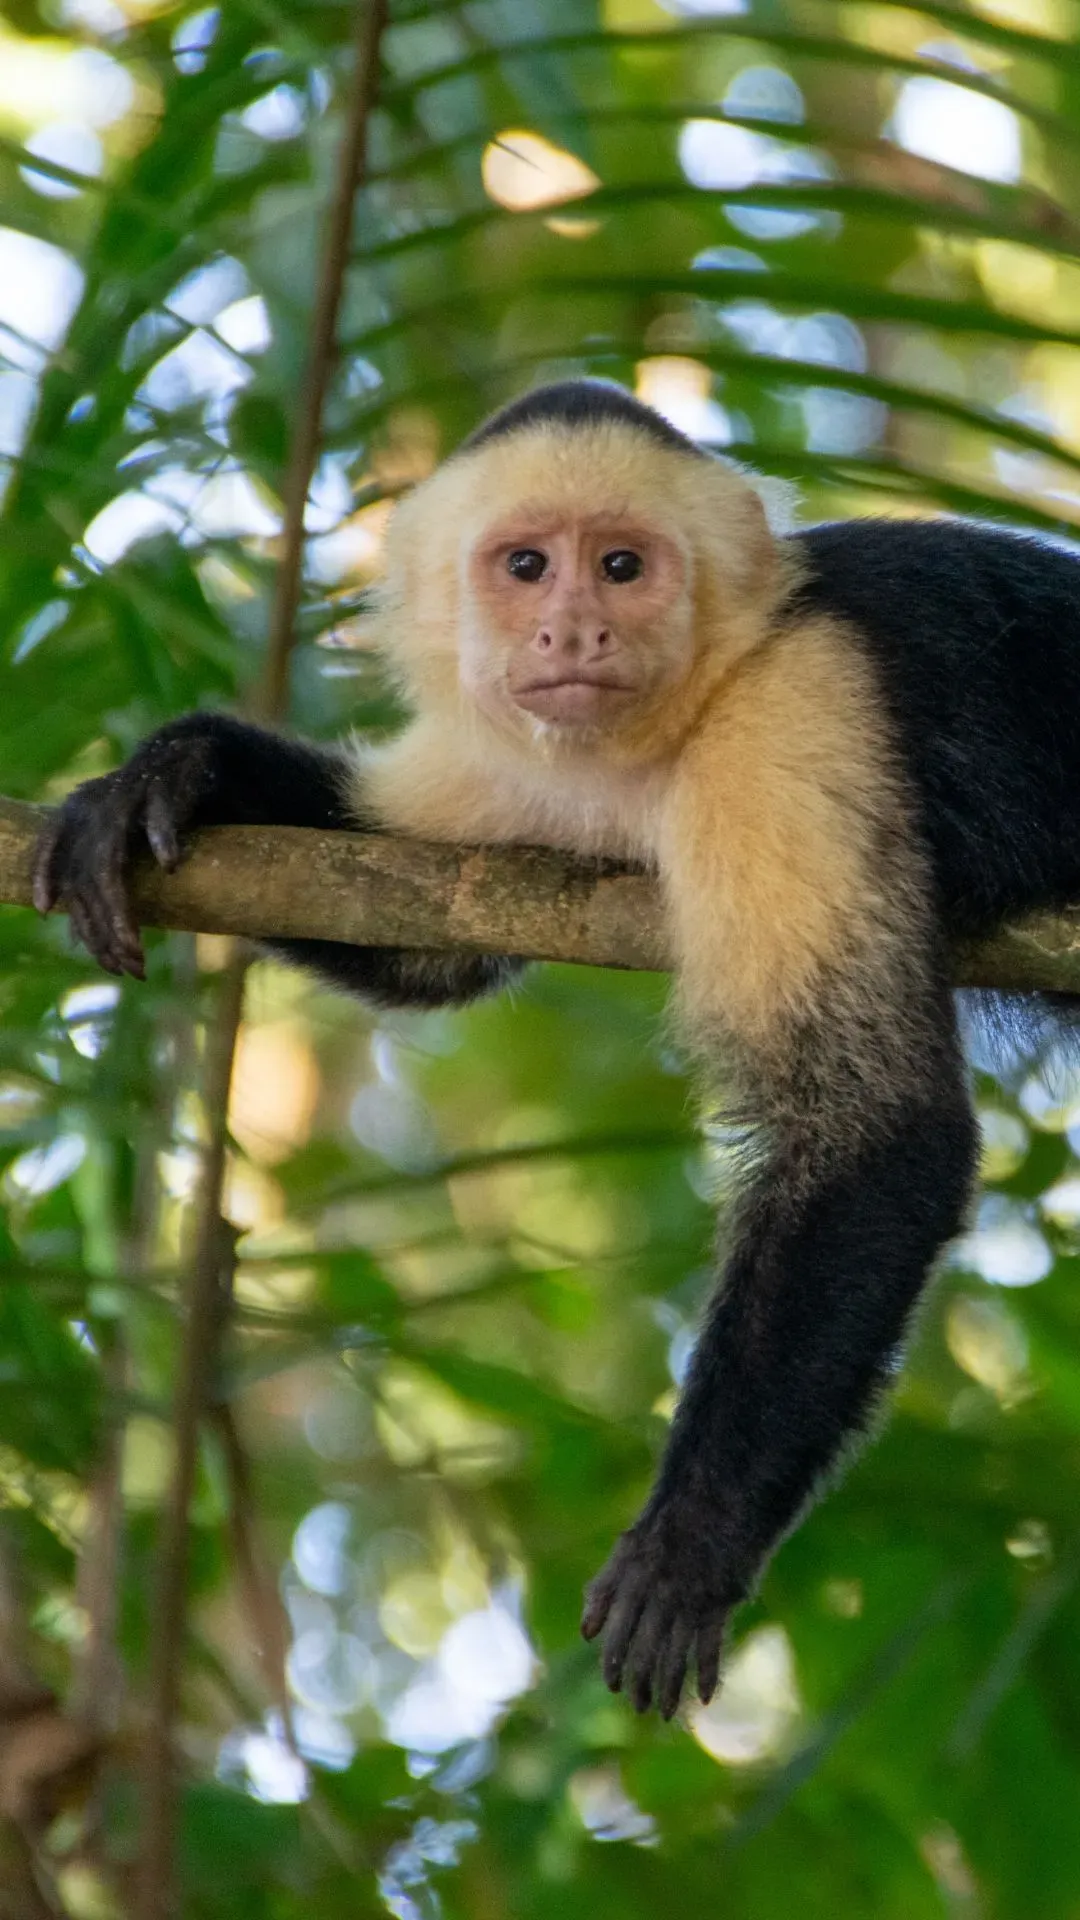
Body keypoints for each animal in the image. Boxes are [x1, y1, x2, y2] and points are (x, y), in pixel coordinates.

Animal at [33, 377, 1080, 1720]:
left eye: (622, 567)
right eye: (526, 566)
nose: (571, 632)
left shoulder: (800, 717)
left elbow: (876, 1125)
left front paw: (693, 1539)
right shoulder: (508, 755)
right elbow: (420, 934)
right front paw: (188, 769)